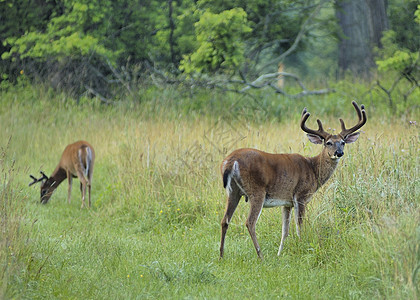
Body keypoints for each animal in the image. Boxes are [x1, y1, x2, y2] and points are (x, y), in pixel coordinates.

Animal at [218, 101, 366, 258]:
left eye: (343, 142)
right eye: (328, 143)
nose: (339, 153)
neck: (313, 169)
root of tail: (230, 161)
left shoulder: (286, 202)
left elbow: (285, 231)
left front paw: (279, 254)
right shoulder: (300, 196)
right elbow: (299, 227)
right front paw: (301, 247)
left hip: (233, 191)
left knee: (225, 220)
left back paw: (221, 256)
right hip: (256, 190)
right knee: (250, 222)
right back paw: (260, 255)